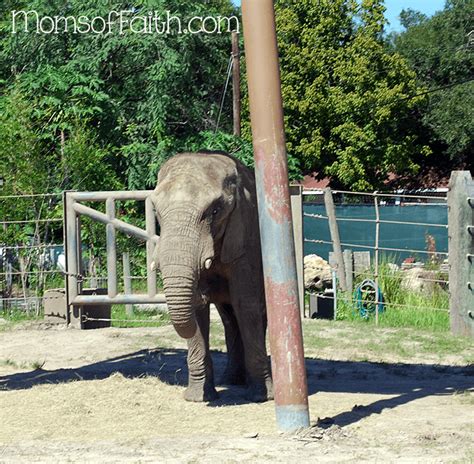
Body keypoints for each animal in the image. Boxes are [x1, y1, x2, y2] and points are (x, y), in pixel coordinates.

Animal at [150, 151, 272, 402]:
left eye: (215, 211)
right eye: (156, 211)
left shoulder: (245, 237)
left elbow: (246, 304)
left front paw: (261, 396)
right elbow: (197, 307)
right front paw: (198, 397)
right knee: (229, 318)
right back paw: (231, 380)